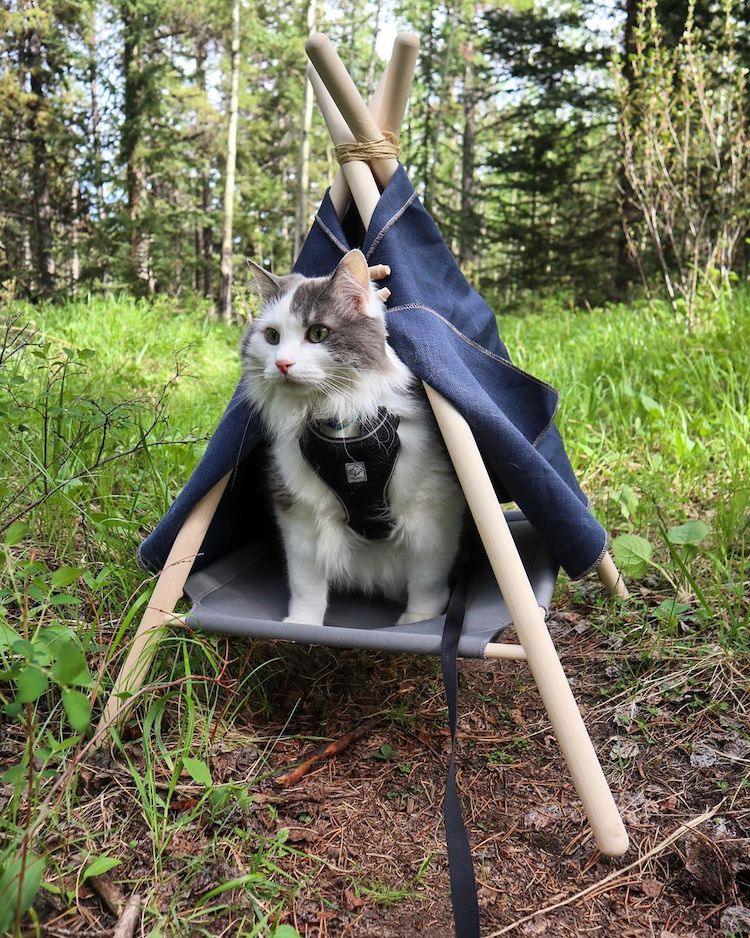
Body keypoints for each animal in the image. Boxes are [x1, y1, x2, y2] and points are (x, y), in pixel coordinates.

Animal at [242, 249, 464, 624]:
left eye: (317, 333)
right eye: (271, 337)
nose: (282, 364)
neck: (341, 424)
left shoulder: (432, 508)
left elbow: (427, 579)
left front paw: (418, 620)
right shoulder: (299, 514)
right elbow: (306, 584)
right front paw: (302, 625)